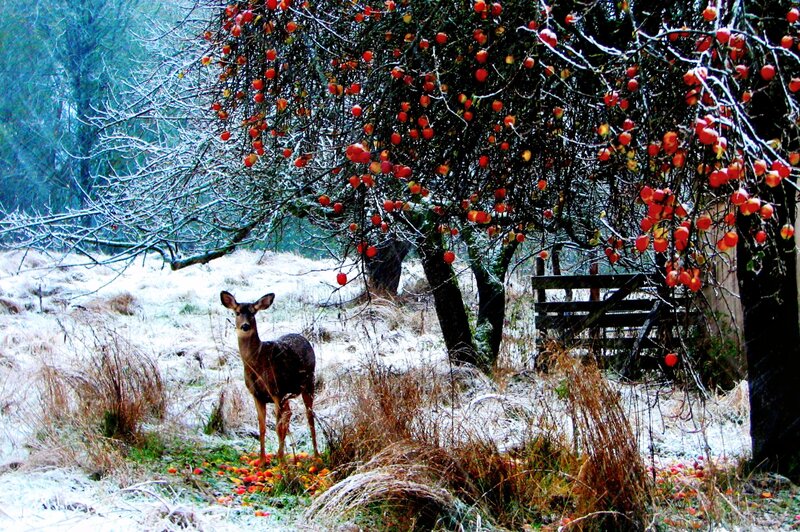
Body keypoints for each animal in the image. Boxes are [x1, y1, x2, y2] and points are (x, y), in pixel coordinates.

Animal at [220, 291, 319, 465]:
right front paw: (262, 461)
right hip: (287, 394)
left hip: (308, 382)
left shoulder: (275, 390)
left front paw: (280, 462)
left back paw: (315, 455)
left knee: (309, 416)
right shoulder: (257, 395)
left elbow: (278, 428)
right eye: (237, 312)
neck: (257, 363)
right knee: (289, 413)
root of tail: (303, 338)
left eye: (253, 313)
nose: (245, 326)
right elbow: (262, 427)